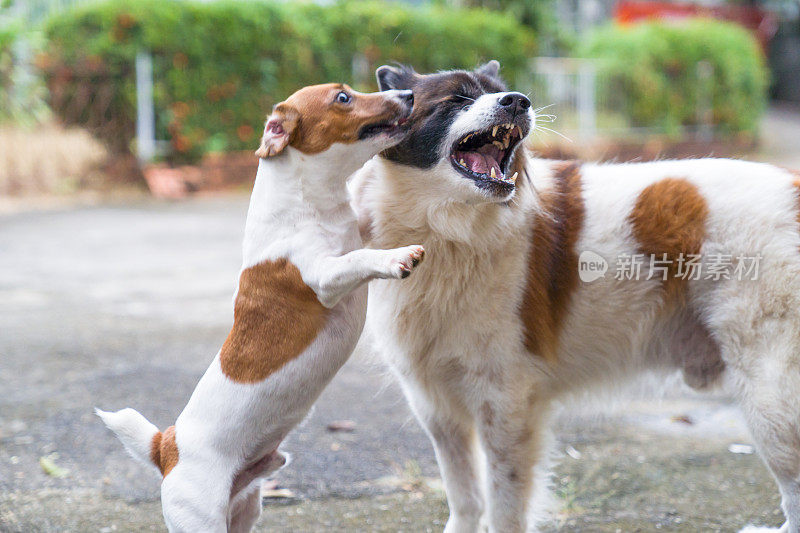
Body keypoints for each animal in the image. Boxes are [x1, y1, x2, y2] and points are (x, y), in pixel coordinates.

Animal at [98, 83, 424, 532]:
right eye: (342, 97)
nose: (409, 93)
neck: (309, 204)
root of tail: (166, 446)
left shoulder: (358, 228)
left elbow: (365, 234)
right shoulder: (323, 276)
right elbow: (360, 257)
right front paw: (397, 257)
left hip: (246, 511)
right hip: (201, 519)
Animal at [352, 62, 800, 532]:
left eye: (498, 93)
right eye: (456, 100)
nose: (518, 101)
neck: (450, 233)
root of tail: (794, 186)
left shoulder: (506, 404)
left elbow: (504, 503)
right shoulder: (437, 407)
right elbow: (465, 497)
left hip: (770, 397)